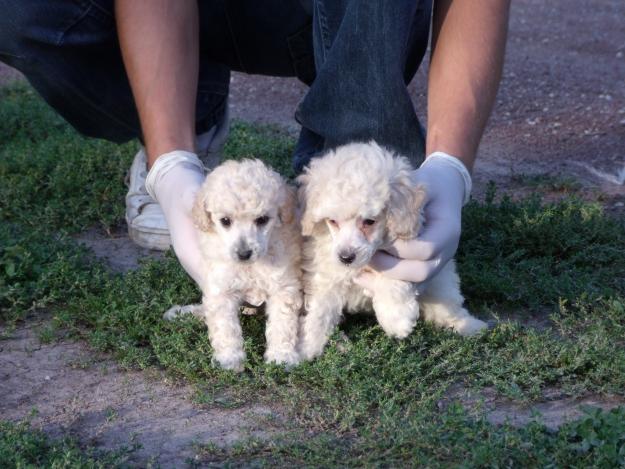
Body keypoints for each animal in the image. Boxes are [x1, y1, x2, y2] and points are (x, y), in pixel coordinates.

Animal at [163, 159, 302, 372]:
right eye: (225, 221)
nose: (243, 254)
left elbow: (283, 323)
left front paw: (281, 356)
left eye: (262, 219)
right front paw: (229, 359)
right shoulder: (221, 288)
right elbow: (224, 326)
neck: (250, 267)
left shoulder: (283, 287)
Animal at [298, 141, 488, 360]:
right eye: (332, 221)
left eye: (369, 221)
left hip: (440, 283)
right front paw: (307, 346)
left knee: (449, 306)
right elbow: (320, 311)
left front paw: (396, 319)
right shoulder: (324, 273)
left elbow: (393, 279)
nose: (346, 257)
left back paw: (471, 326)